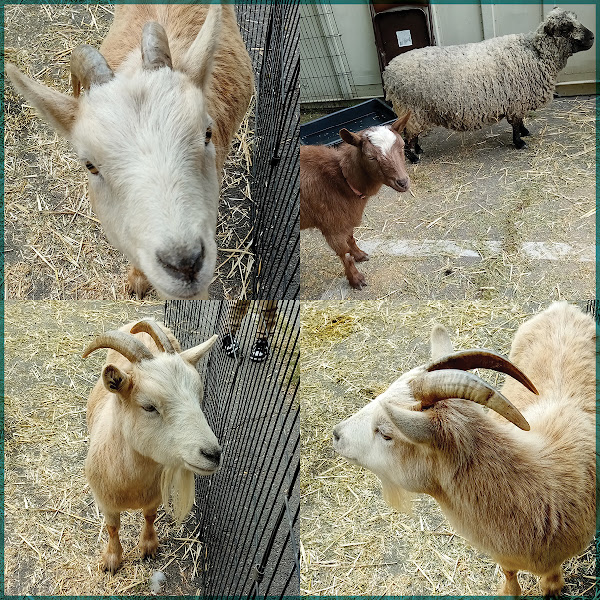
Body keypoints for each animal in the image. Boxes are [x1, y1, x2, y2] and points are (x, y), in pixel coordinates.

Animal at [81, 318, 218, 572]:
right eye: (149, 406)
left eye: (199, 396)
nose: (213, 454)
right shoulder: (105, 501)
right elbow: (112, 528)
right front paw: (112, 559)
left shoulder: (155, 495)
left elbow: (149, 517)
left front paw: (148, 547)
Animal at [300, 115, 412, 290]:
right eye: (371, 157)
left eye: (402, 145)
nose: (403, 182)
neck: (340, 178)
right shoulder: (332, 225)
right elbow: (345, 254)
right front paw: (356, 280)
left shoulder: (346, 217)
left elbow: (351, 237)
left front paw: (360, 255)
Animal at [384, 8, 596, 162]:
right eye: (565, 29)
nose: (593, 36)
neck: (535, 53)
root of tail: (388, 72)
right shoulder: (516, 101)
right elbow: (516, 124)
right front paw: (519, 142)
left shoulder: (519, 101)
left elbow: (521, 121)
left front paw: (525, 132)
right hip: (412, 110)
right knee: (408, 136)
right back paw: (413, 157)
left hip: (414, 113)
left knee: (411, 134)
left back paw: (419, 150)